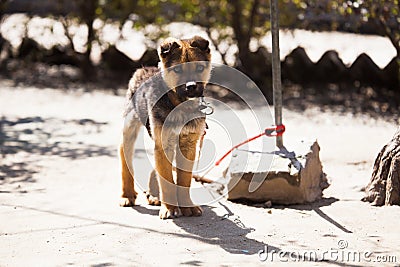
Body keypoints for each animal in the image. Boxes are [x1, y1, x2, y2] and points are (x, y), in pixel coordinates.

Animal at [119, 35, 212, 220]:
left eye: (199, 67)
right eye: (177, 70)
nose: (191, 86)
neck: (180, 106)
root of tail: (144, 69)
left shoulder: (188, 145)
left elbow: (184, 179)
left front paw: (187, 206)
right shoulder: (164, 143)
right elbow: (167, 181)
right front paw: (169, 208)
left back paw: (154, 195)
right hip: (130, 127)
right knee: (124, 154)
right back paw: (127, 195)